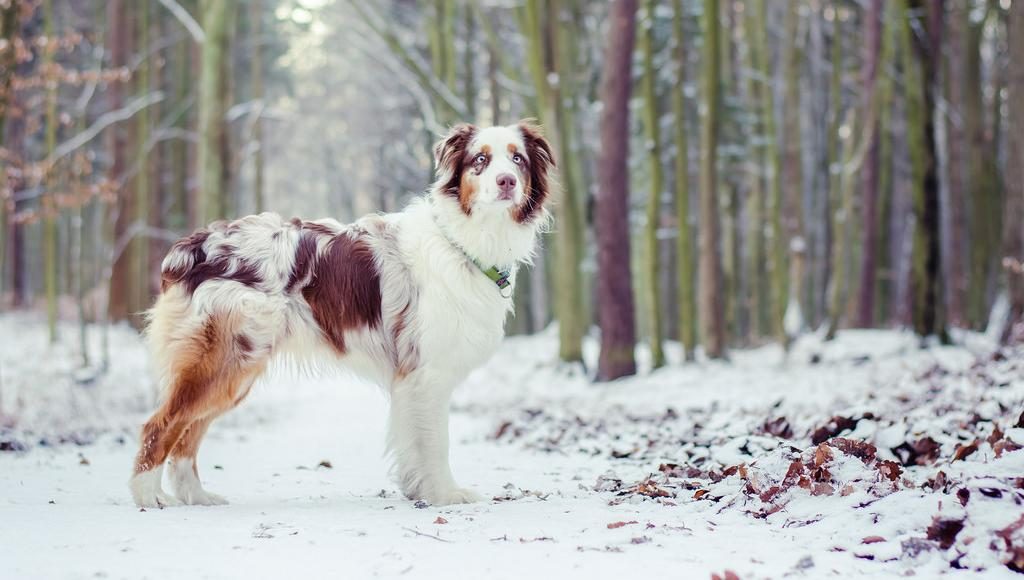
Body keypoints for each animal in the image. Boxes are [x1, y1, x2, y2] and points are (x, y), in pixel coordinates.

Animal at [132, 122, 557, 508]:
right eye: (480, 160)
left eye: (518, 159)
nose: (506, 181)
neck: (464, 241)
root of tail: (195, 246)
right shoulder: (427, 373)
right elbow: (435, 442)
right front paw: (445, 495)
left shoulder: (410, 381)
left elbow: (411, 441)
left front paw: (417, 490)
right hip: (225, 360)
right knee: (160, 426)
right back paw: (148, 497)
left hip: (236, 370)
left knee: (188, 435)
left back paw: (197, 497)